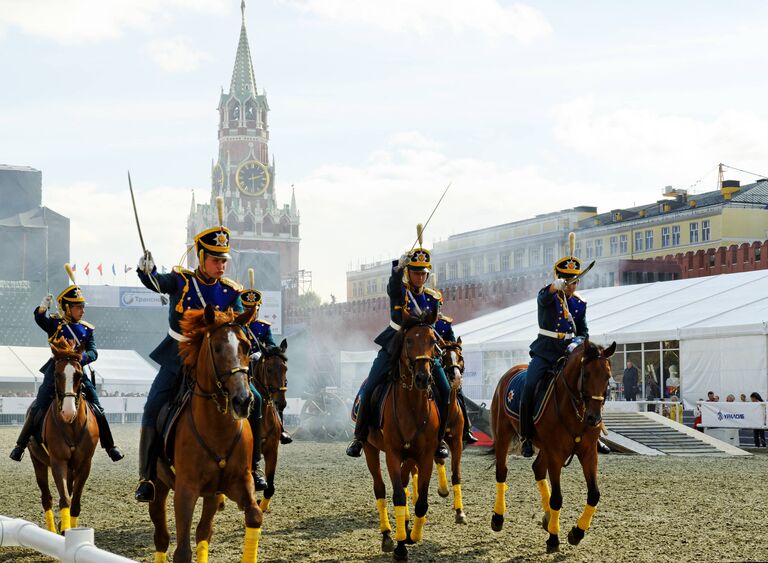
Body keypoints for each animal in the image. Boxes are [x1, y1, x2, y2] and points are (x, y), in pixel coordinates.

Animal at [28, 338, 98, 536]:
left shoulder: (85, 464)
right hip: (38, 462)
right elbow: (65, 498)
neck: (72, 425)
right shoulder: (58, 462)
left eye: (79, 375)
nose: (68, 412)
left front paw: (70, 528)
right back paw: (52, 529)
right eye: (57, 374)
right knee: (47, 497)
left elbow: (75, 500)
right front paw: (65, 528)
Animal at [150, 306, 264, 560]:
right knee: (161, 536)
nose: (243, 400)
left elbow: (254, 515)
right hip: (159, 486)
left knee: (204, 532)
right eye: (217, 347)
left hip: (212, 494)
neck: (217, 428)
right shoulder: (185, 491)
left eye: (246, 346)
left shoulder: (240, 482)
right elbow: (182, 551)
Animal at [364, 310, 440, 560]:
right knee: (380, 488)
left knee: (407, 486)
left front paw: (412, 535)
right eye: (408, 341)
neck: (412, 406)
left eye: (433, 341)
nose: (423, 378)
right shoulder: (393, 454)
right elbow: (397, 495)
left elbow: (421, 501)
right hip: (369, 449)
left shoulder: (425, 457)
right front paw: (399, 547)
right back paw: (388, 534)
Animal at [492, 342, 616, 552]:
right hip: (503, 435)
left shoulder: (588, 453)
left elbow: (594, 494)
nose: (594, 418)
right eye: (586, 374)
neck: (575, 410)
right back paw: (498, 518)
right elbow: (557, 498)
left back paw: (548, 518)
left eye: (607, 376)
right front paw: (553, 538)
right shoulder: (556, 455)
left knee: (538, 469)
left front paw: (577, 532)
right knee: (502, 472)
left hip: (545, 448)